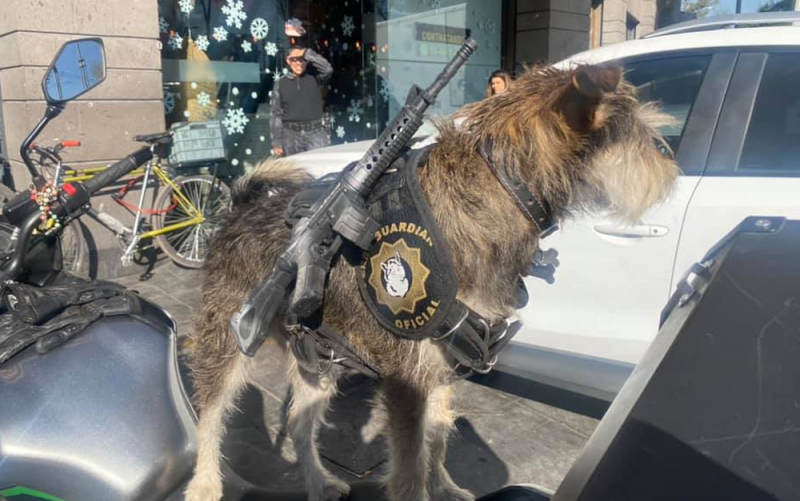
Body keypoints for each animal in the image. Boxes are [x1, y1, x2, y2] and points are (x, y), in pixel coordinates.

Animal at [184, 63, 680, 500]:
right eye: (635, 131)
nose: (672, 167)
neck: (502, 188)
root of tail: (238, 207)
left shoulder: (445, 364)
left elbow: (437, 437)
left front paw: (444, 487)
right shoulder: (407, 380)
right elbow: (408, 468)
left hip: (315, 360)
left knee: (299, 421)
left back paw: (319, 483)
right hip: (224, 343)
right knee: (210, 415)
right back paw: (205, 486)